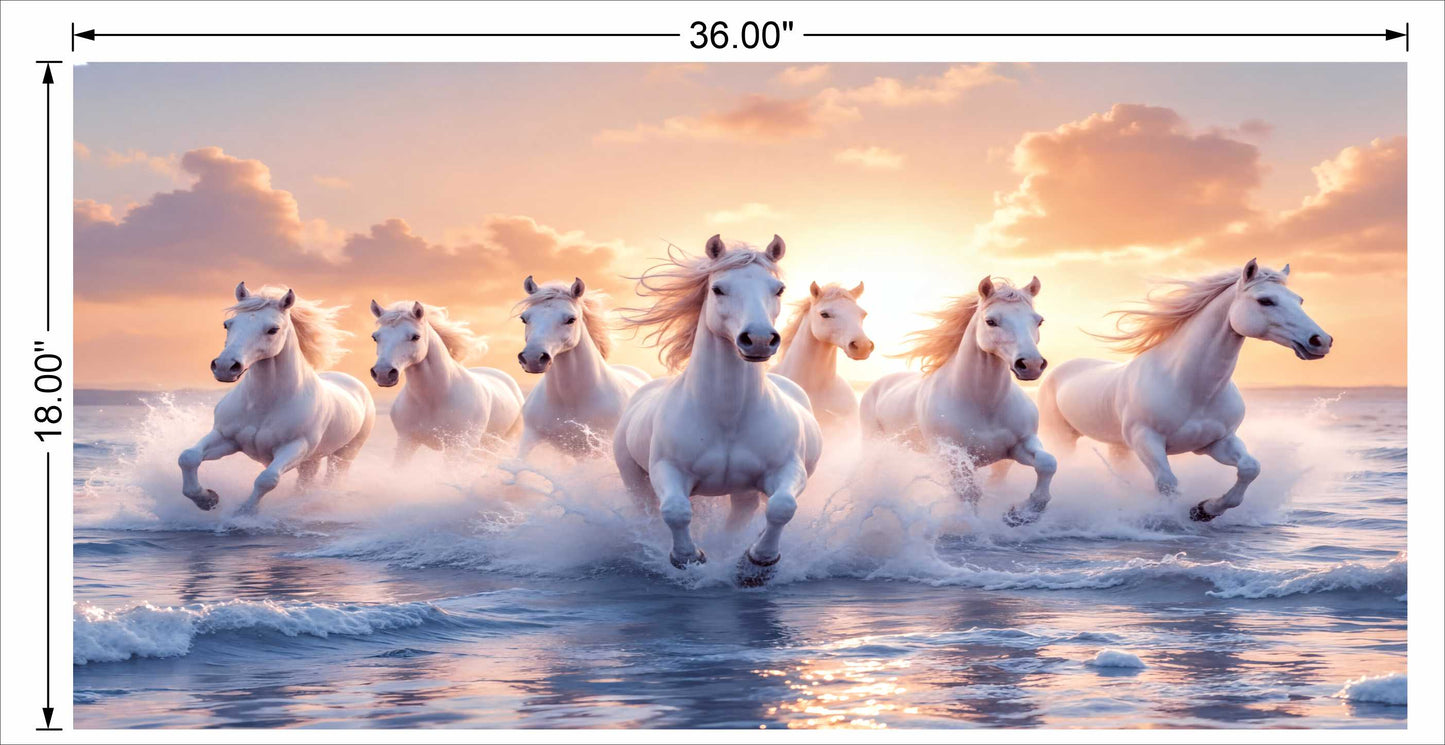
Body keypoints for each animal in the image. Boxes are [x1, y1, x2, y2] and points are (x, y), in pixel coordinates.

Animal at [179, 282, 375, 514]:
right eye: (228, 324)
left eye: (273, 329)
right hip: (312, 460)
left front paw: (245, 513)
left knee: (332, 480)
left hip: (344, 455)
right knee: (305, 482)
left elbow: (267, 479)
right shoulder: (225, 438)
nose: (225, 367)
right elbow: (188, 457)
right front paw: (207, 498)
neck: (265, 405)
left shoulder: (295, 447)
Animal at [369, 299, 524, 462]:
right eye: (375, 337)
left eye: (415, 337)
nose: (383, 373)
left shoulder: (457, 448)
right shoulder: (406, 442)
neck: (433, 400)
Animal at [613, 235, 822, 584]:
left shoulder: (787, 469)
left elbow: (782, 507)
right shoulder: (666, 470)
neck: (727, 418)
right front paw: (689, 558)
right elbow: (676, 511)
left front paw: (756, 563)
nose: (759, 340)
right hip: (633, 480)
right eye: (718, 289)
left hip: (744, 493)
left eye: (778, 289)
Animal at [860, 276, 1056, 526]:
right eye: (991, 321)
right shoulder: (953, 456)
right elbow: (969, 493)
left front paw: (1020, 514)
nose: (1030, 364)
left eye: (1038, 321)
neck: (984, 404)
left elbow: (1047, 463)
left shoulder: (1020, 446)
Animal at [1038, 259, 1332, 522]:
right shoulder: (1147, 439)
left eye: (1299, 300)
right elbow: (1168, 485)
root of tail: (1058, 371)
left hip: (1119, 446)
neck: (1192, 388)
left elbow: (1250, 469)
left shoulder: (1217, 442)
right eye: (1265, 300)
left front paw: (1203, 510)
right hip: (1063, 437)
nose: (1320, 341)